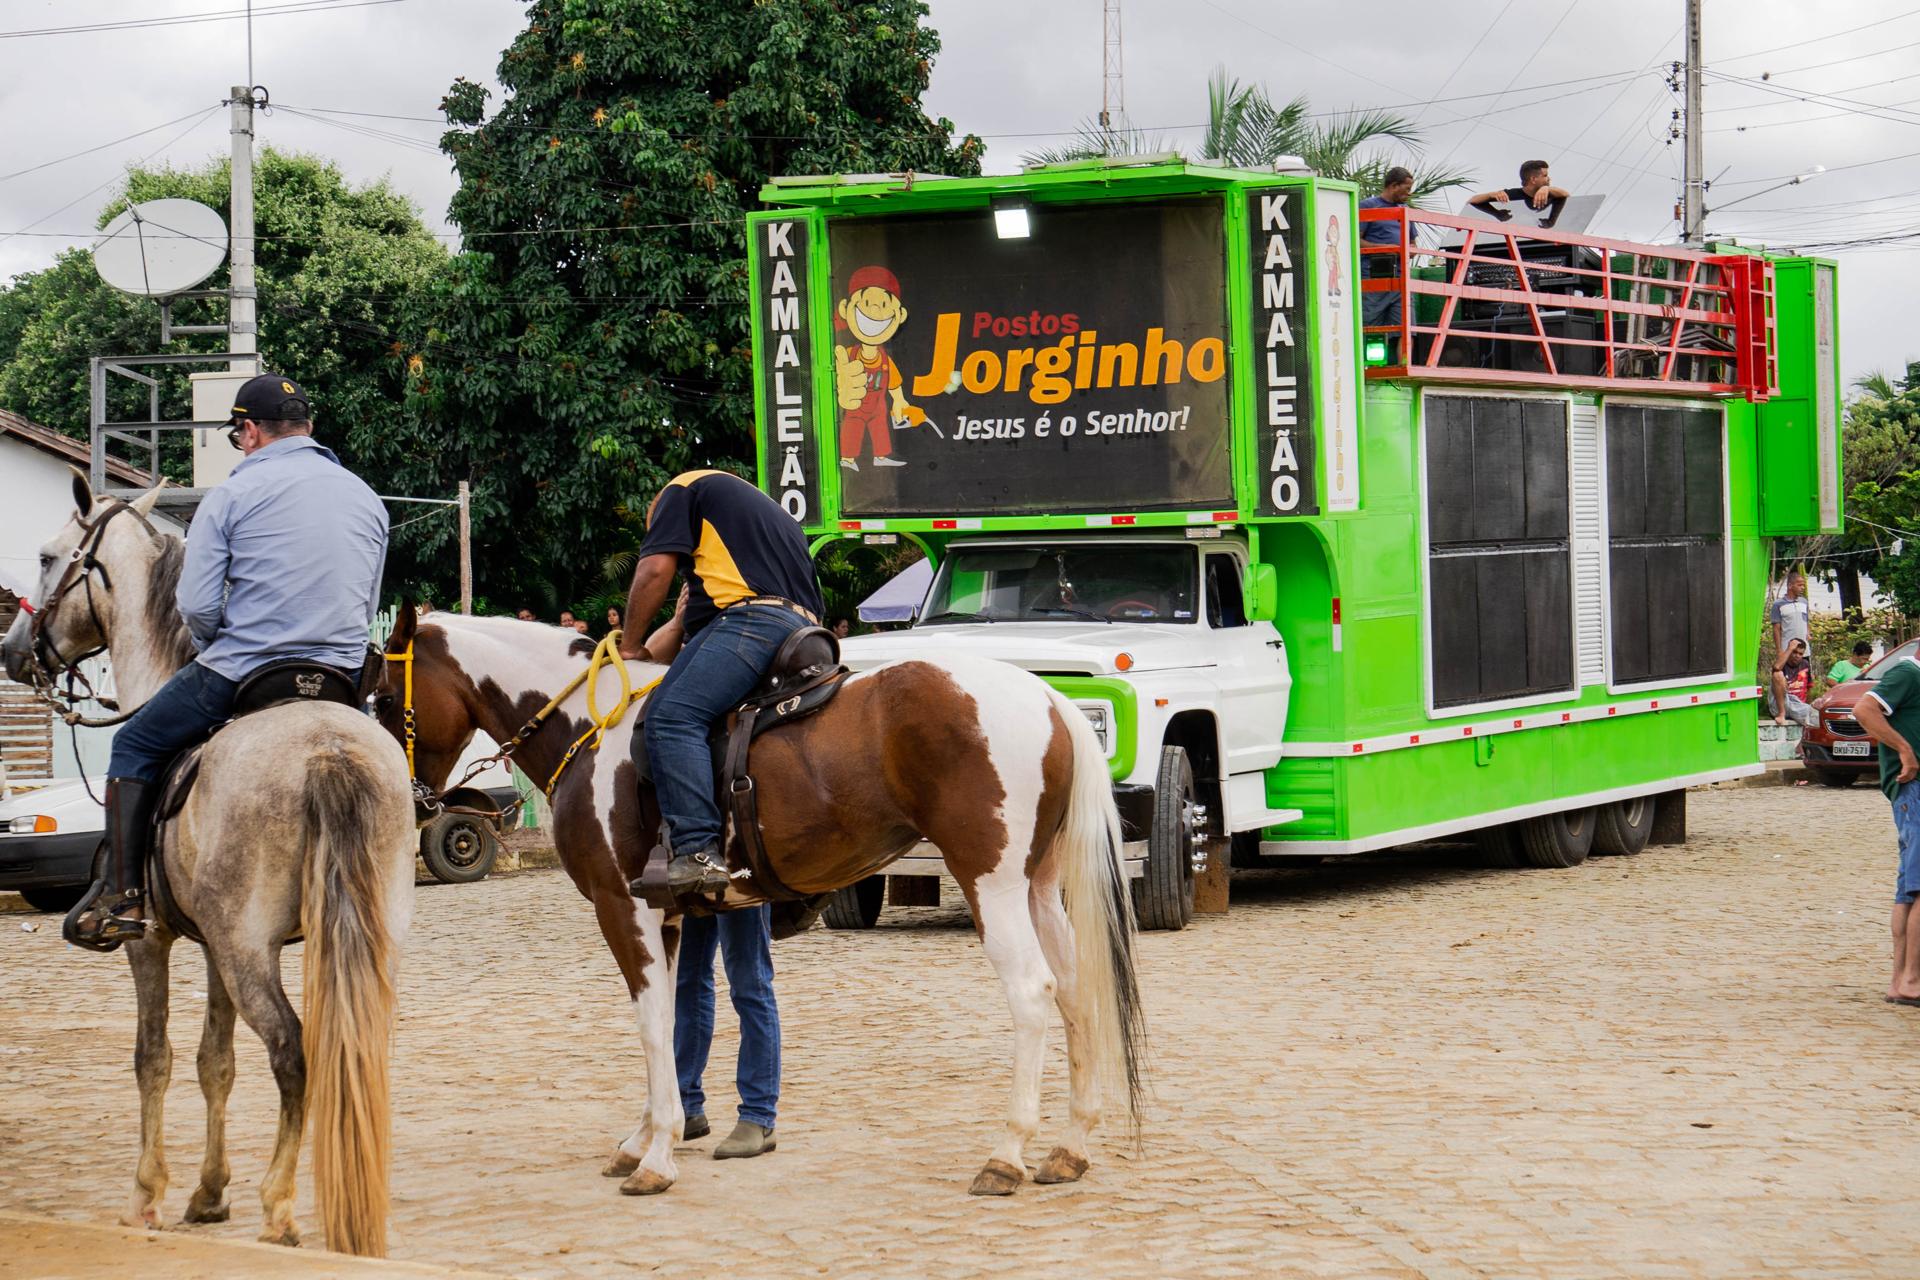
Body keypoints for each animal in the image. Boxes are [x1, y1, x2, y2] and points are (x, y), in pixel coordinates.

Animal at [0, 474, 416, 1256]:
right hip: (341, 941)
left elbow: (154, 1057)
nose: (15, 652)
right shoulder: (215, 949)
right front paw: (209, 1192)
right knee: (348, 1051)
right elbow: (213, 1063)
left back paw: (279, 1206)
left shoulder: (156, 942)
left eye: (46, 557)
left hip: (249, 951)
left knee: (291, 1051)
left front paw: (149, 1194)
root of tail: (328, 750)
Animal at [375, 603, 1144, 1197]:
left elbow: (651, 1026)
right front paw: (647, 1136)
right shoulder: (668, 921)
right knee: (1075, 993)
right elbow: (672, 1026)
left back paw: (1007, 1154)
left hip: (993, 884)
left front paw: (656, 1157)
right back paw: (1069, 1148)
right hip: (1039, 889)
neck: (590, 729)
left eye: (382, 697)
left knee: (1033, 995)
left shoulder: (623, 910)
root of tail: (1047, 701)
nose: (406, 798)